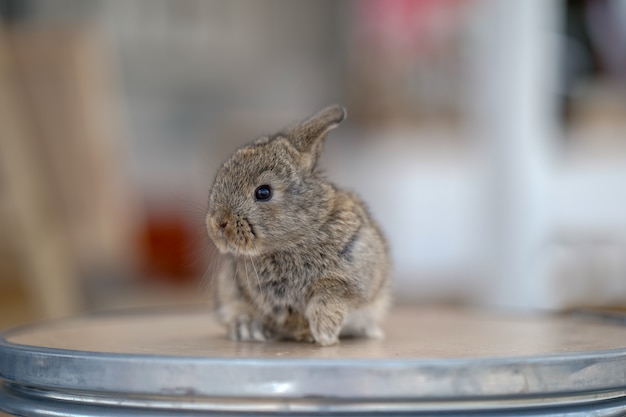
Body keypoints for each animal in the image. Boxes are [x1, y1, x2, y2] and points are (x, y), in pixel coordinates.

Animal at [207, 105, 388, 346]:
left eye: (263, 192)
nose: (218, 222)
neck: (298, 236)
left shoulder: (353, 275)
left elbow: (331, 293)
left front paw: (324, 333)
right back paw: (248, 329)